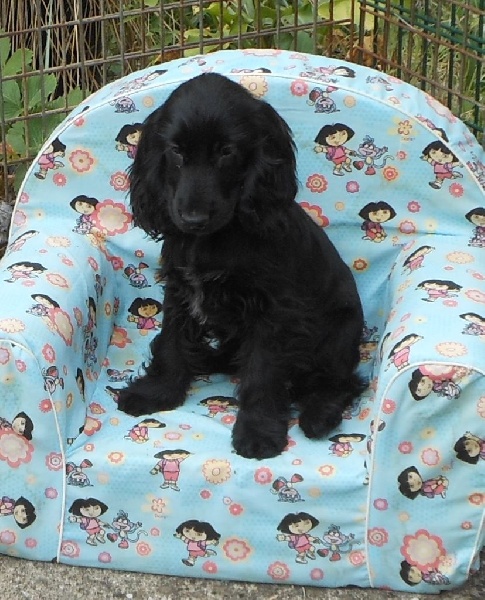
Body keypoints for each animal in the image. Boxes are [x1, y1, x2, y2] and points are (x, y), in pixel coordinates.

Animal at [117, 72, 365, 459]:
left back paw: (319, 416)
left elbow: (262, 372)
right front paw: (157, 392)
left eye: (226, 152)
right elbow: (171, 341)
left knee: (343, 381)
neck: (213, 240)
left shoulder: (273, 310)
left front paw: (258, 432)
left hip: (339, 335)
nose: (193, 219)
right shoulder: (180, 290)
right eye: (176, 151)